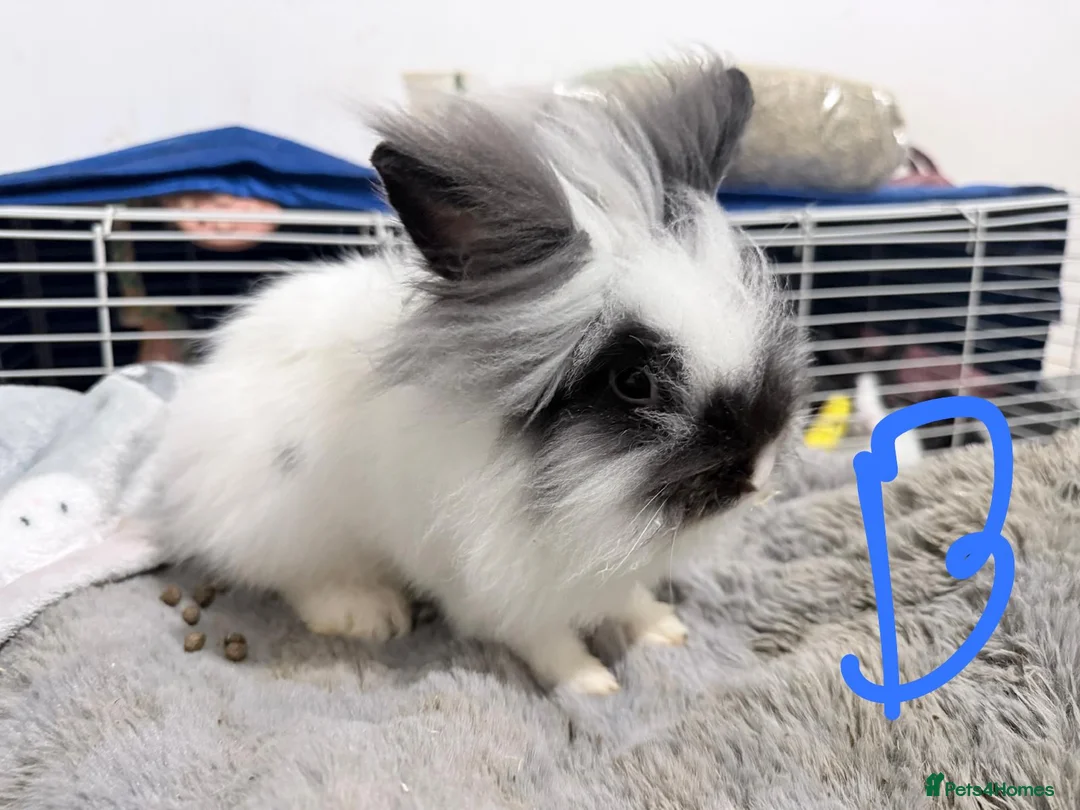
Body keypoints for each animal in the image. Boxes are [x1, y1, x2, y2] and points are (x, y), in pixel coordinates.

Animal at [147, 51, 810, 695]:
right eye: (634, 384)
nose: (758, 469)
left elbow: (626, 598)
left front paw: (663, 631)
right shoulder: (495, 584)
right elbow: (544, 638)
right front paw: (591, 685)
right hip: (286, 519)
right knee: (297, 576)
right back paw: (368, 614)